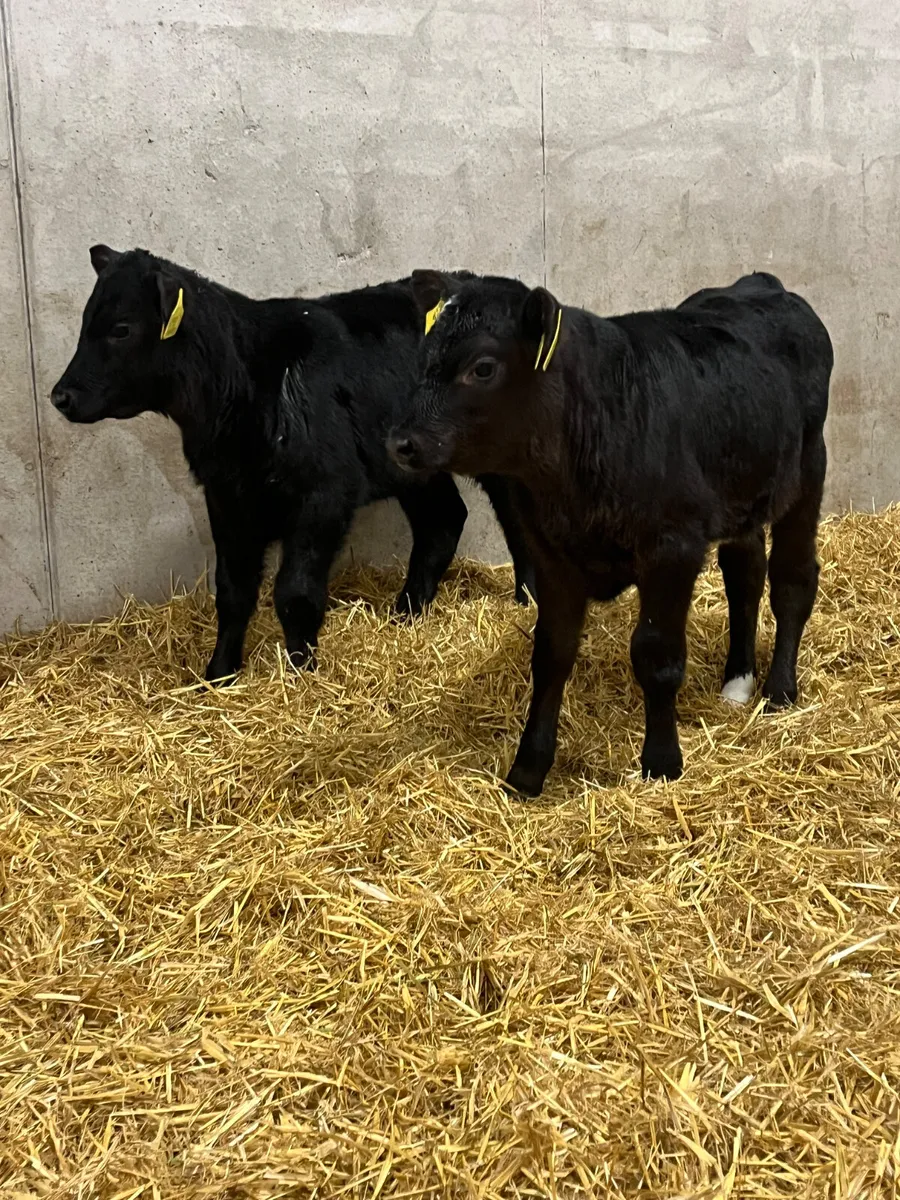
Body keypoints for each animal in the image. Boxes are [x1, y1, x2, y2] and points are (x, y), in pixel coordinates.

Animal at [50, 247, 536, 682]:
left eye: (122, 328)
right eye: (85, 321)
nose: (61, 396)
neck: (244, 384)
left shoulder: (324, 494)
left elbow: (295, 592)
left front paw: (303, 673)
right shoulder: (227, 497)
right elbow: (233, 591)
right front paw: (218, 673)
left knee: (515, 524)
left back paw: (527, 599)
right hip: (412, 469)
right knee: (443, 521)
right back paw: (405, 615)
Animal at [388, 270, 832, 796]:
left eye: (482, 368)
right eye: (423, 354)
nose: (401, 442)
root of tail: (759, 283)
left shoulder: (671, 549)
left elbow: (656, 656)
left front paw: (662, 762)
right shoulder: (552, 556)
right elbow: (551, 654)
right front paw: (528, 770)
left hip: (806, 474)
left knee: (792, 581)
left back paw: (780, 689)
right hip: (742, 493)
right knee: (744, 575)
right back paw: (737, 681)